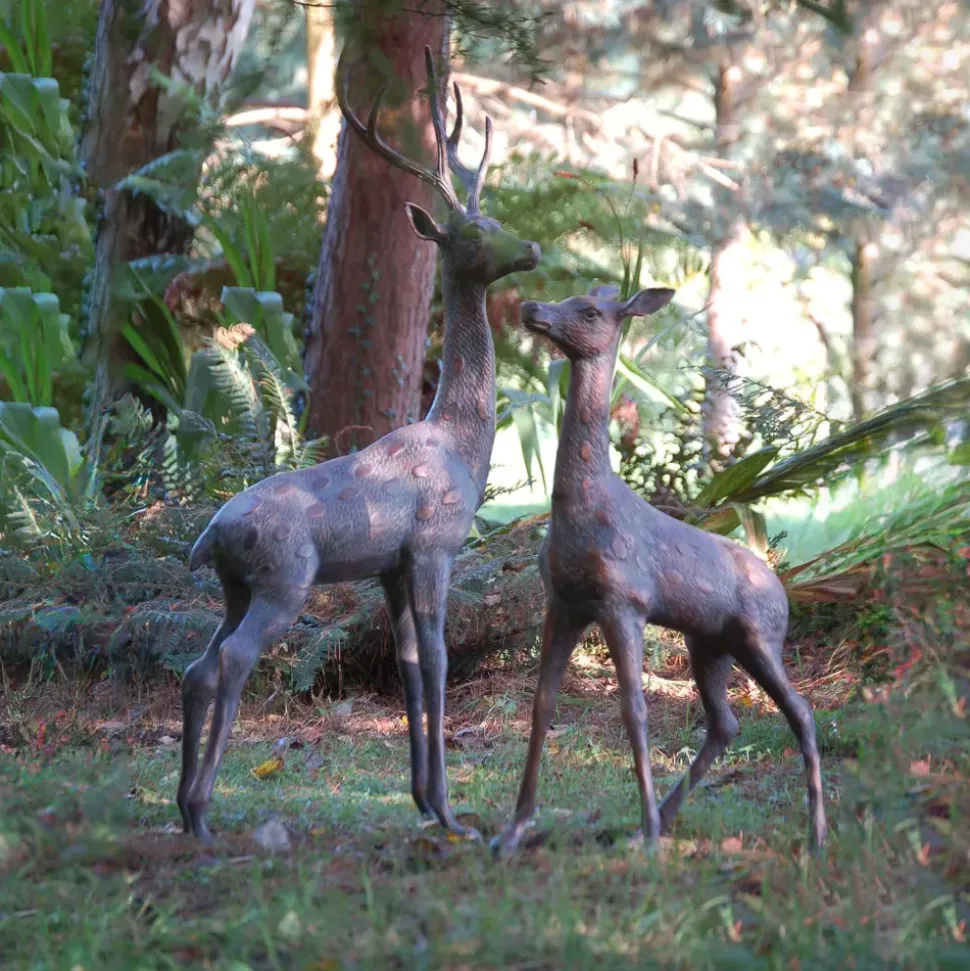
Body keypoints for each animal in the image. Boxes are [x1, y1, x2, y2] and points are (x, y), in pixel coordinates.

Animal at [177, 45, 541, 844]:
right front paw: (453, 814)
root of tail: (210, 537)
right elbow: (437, 660)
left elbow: (406, 666)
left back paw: (185, 809)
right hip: (284, 577)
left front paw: (425, 801)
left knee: (197, 665)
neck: (462, 442)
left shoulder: (389, 567)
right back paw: (204, 810)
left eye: (498, 216)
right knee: (233, 660)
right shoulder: (433, 545)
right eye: (470, 236)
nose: (530, 246)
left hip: (234, 586)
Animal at [493, 284, 827, 857]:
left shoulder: (624, 601)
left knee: (800, 711)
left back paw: (816, 835)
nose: (533, 309)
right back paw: (669, 818)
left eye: (590, 311)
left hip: (760, 636)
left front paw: (644, 834)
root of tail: (782, 590)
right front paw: (512, 831)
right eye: (571, 296)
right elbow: (542, 705)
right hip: (709, 643)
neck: (582, 510)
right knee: (725, 724)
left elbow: (634, 710)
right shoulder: (563, 602)